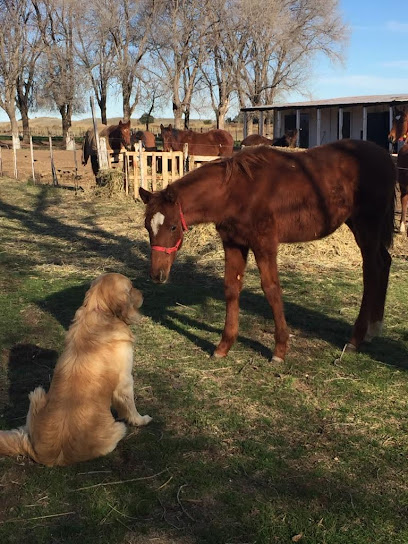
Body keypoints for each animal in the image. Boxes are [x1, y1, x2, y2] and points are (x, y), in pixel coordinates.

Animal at [0, 274, 151, 466]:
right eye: (131, 288)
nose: (144, 292)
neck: (100, 310)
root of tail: (44, 455)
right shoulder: (125, 381)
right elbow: (130, 407)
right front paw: (141, 420)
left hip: (36, 394)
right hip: (118, 428)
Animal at [140, 138, 396, 364]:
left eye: (173, 226)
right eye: (147, 226)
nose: (157, 275)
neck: (237, 192)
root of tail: (385, 156)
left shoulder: (265, 244)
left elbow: (271, 289)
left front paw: (280, 350)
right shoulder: (233, 243)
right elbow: (231, 287)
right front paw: (224, 346)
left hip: (367, 226)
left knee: (371, 271)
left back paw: (355, 338)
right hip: (357, 224)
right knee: (384, 262)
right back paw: (373, 329)